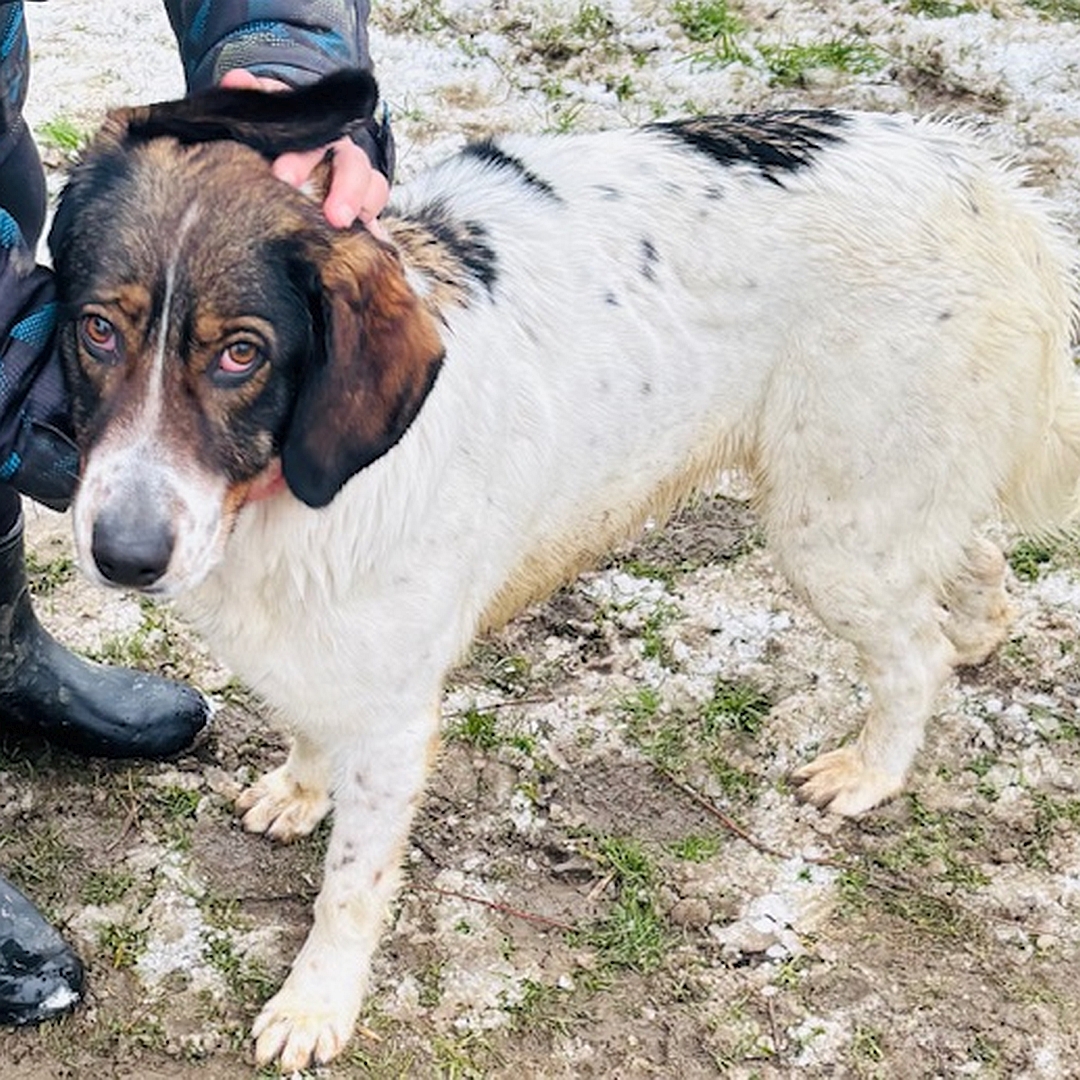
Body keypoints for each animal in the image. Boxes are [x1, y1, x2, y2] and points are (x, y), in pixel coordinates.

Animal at [48, 69, 1080, 1071]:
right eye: (96, 330)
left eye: (240, 353)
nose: (124, 556)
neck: (289, 499)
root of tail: (986, 186)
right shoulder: (318, 645)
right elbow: (306, 721)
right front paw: (300, 790)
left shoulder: (393, 718)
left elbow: (351, 886)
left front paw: (316, 1004)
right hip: (875, 499)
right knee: (969, 560)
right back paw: (982, 630)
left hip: (830, 523)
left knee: (914, 653)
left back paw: (871, 771)